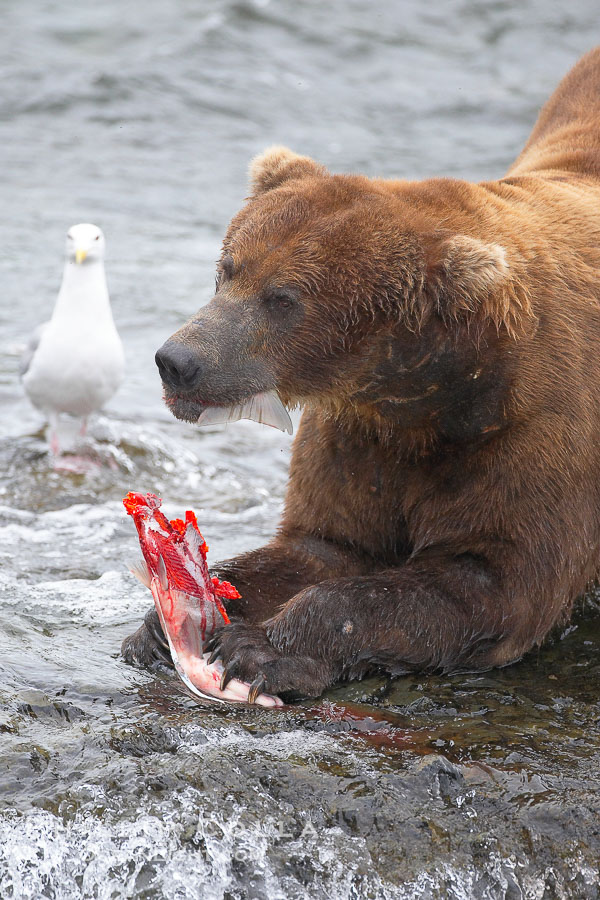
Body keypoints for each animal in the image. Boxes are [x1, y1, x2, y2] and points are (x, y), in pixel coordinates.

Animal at [122, 47, 600, 701]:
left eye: (283, 299)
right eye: (227, 268)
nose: (178, 361)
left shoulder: (531, 438)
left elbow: (491, 579)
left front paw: (260, 648)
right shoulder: (359, 437)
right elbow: (321, 544)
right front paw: (163, 622)